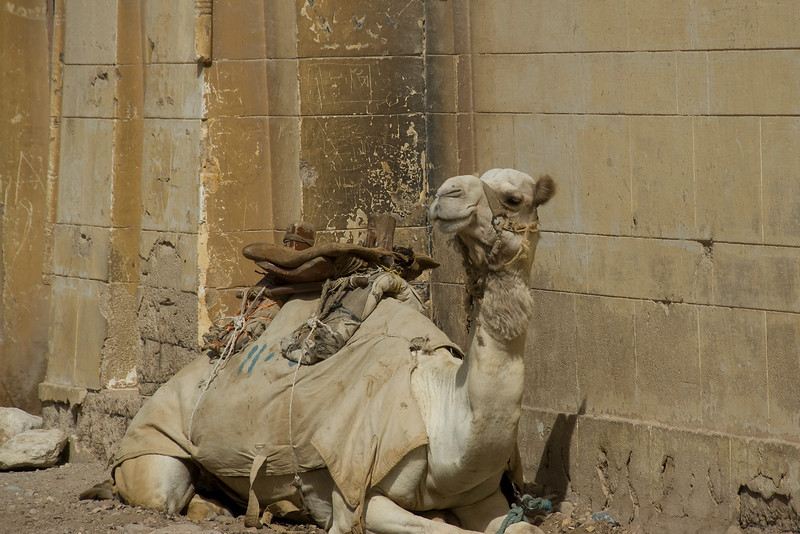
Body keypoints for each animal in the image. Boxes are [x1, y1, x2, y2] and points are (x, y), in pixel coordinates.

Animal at [108, 169, 556, 534]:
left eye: (513, 198)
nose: (448, 192)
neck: (440, 405)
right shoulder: (356, 495)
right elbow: (439, 528)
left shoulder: (483, 498)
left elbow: (519, 528)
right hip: (153, 454)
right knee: (163, 492)